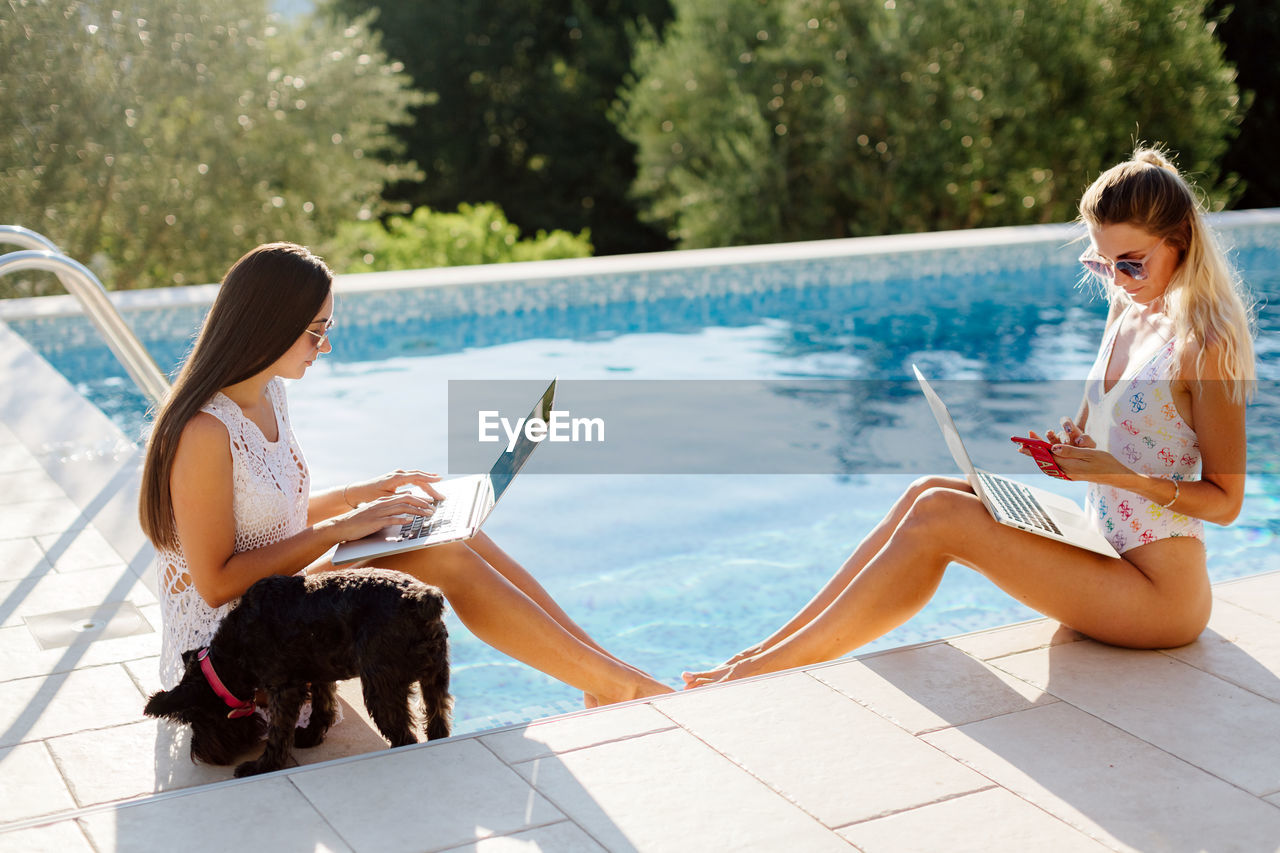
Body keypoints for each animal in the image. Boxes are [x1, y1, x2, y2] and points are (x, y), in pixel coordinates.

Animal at [145, 568, 453, 773]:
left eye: (195, 720)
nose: (202, 755)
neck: (235, 646)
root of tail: (422, 597)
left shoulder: (282, 688)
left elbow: (279, 731)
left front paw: (263, 766)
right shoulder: (319, 673)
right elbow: (322, 705)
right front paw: (311, 736)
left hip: (381, 686)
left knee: (405, 735)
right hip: (435, 678)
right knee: (438, 718)